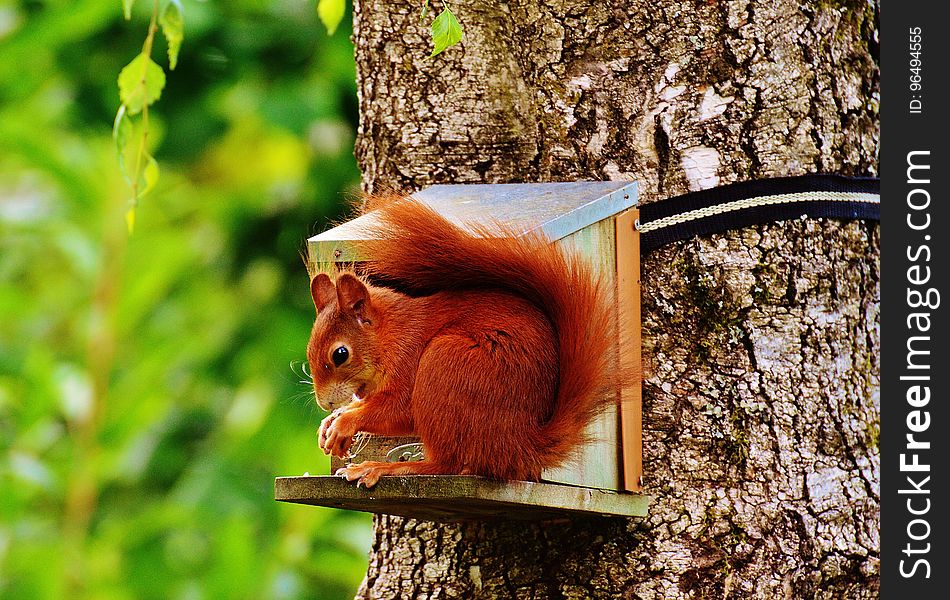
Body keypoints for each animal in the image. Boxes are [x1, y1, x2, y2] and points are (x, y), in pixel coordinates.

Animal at [306, 197, 616, 488]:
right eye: (309, 354)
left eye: (340, 354)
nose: (324, 403)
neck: (390, 336)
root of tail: (521, 445)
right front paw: (331, 421)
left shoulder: (408, 357)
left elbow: (400, 410)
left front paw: (344, 422)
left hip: (444, 363)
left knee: (447, 464)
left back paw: (382, 467)